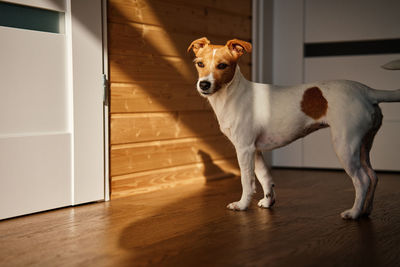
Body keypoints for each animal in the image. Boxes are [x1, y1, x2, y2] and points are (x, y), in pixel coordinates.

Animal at [188, 38, 400, 222]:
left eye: (222, 66)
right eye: (200, 64)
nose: (204, 84)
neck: (232, 94)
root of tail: (367, 91)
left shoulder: (244, 149)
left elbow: (247, 181)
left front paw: (242, 205)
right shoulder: (255, 150)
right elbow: (265, 177)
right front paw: (268, 201)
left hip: (345, 146)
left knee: (362, 180)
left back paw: (354, 213)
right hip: (363, 146)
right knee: (373, 176)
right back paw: (365, 210)